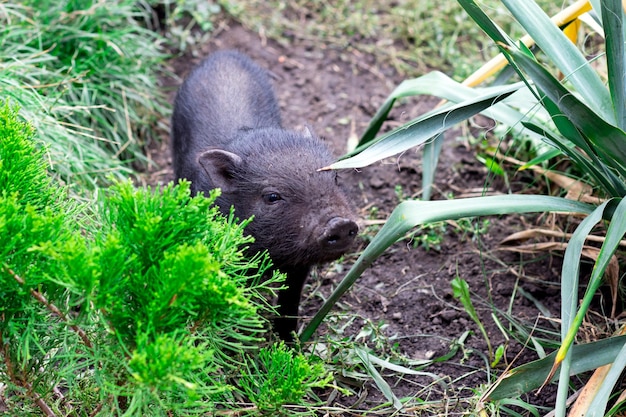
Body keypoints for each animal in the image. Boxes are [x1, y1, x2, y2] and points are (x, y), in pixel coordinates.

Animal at [171, 50, 356, 340]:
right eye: (272, 196)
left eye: (336, 178)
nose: (340, 222)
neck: (271, 254)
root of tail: (223, 54)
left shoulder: (298, 266)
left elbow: (290, 299)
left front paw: (290, 342)